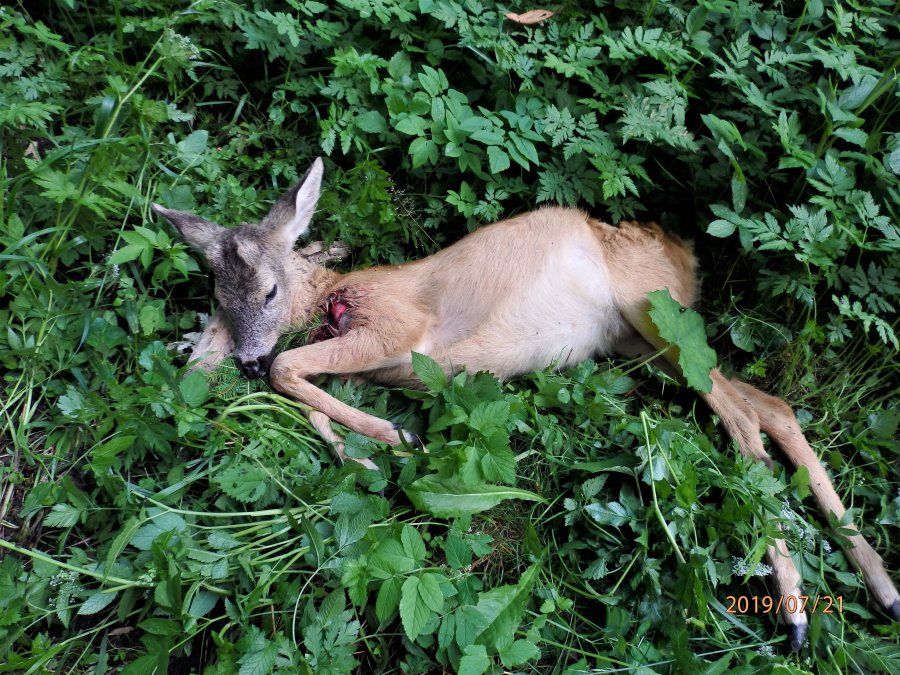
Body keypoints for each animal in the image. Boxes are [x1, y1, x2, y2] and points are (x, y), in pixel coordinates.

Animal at [152, 157, 899, 649]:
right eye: (218, 298)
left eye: (269, 291)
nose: (233, 358)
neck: (340, 298)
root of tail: (684, 250)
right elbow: (306, 393)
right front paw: (362, 453)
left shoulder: (399, 333)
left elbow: (291, 369)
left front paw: (394, 438)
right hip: (644, 344)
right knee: (772, 406)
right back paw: (878, 588)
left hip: (652, 313)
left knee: (743, 416)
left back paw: (796, 611)